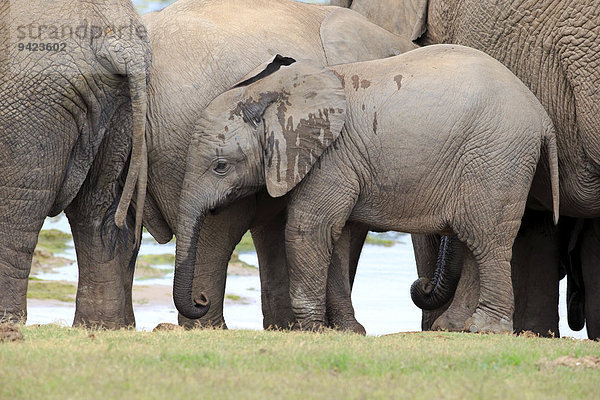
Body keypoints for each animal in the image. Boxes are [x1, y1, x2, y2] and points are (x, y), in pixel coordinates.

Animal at [176, 43, 560, 332]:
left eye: (220, 166)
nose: (200, 300)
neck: (275, 91)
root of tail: (541, 114)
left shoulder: (332, 157)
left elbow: (309, 228)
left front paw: (311, 331)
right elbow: (336, 236)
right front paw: (348, 331)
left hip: (497, 156)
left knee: (486, 239)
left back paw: (484, 329)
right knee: (473, 240)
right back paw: (456, 327)